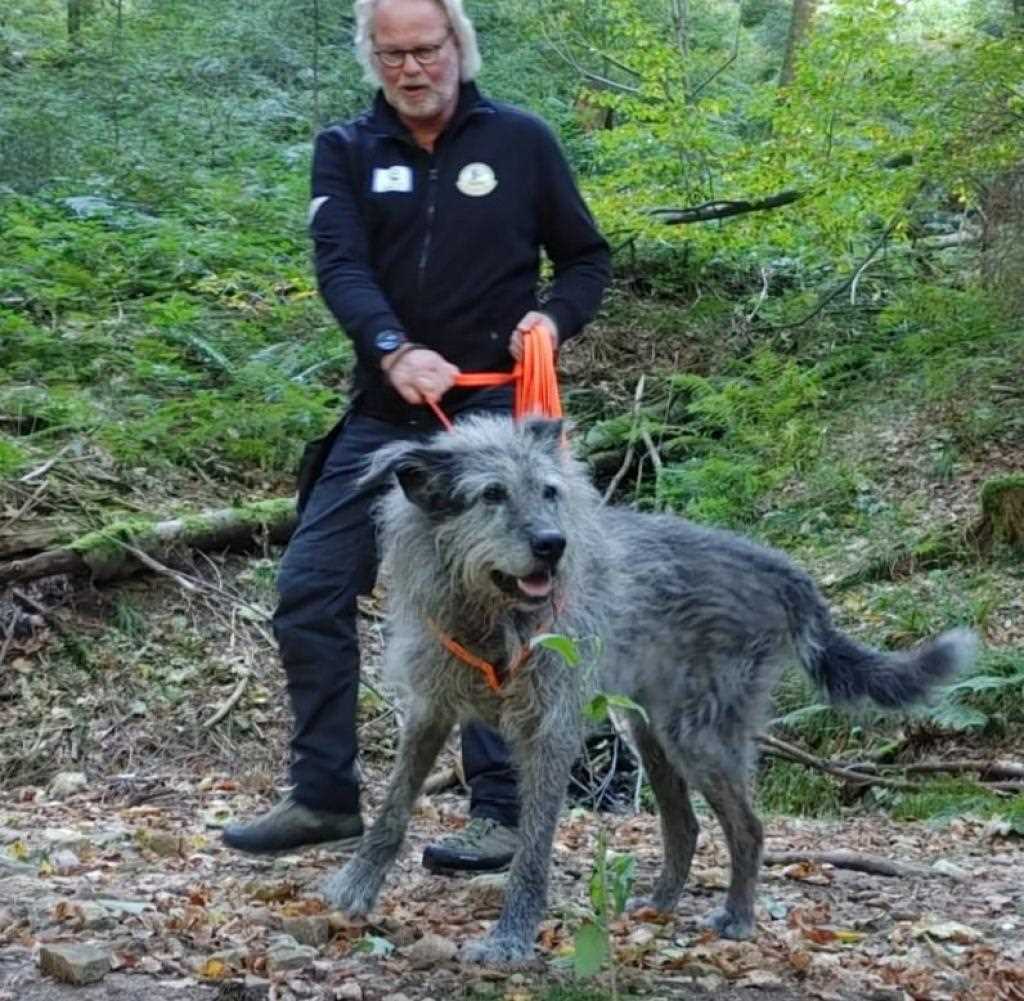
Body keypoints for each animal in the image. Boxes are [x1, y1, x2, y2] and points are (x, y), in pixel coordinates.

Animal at [323, 411, 978, 958]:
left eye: (549, 492)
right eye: (492, 494)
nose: (553, 546)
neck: (494, 617)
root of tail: (782, 570)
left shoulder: (550, 730)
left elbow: (532, 849)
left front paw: (511, 939)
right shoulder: (430, 712)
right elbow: (392, 812)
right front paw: (353, 889)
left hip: (699, 736)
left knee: (748, 827)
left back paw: (738, 917)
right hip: (650, 733)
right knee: (684, 825)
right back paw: (661, 904)